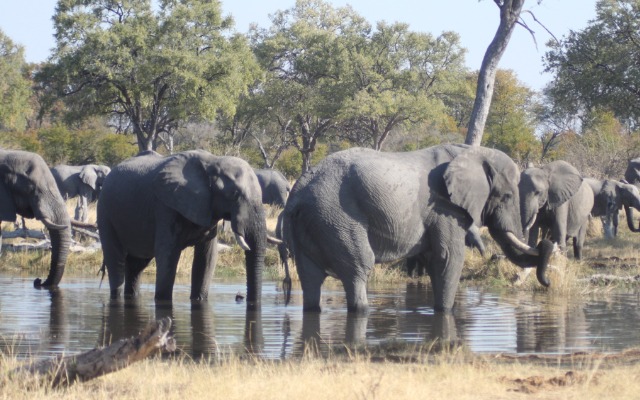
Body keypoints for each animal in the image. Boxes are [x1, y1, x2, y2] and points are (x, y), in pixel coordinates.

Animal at [96, 149, 266, 306]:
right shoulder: (165, 206)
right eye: (234, 194)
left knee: (136, 265)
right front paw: (163, 301)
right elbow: (167, 255)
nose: (241, 298)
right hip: (105, 212)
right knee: (116, 262)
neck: (213, 161)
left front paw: (199, 299)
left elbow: (207, 258)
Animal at [280, 144, 556, 312]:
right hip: (336, 218)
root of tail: (296, 196)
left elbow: (434, 260)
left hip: (313, 224)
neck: (473, 153)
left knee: (310, 278)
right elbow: (448, 258)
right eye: (508, 196)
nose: (547, 243)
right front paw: (445, 312)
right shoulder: (445, 207)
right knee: (359, 268)